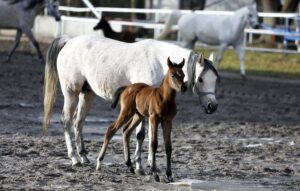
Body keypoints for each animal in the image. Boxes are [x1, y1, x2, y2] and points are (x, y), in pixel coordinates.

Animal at [43, 34, 219, 179]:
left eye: (216, 79)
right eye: (201, 79)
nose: (212, 106)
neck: (158, 62)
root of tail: (69, 41)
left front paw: (149, 165)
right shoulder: (147, 112)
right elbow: (141, 135)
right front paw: (141, 166)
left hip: (87, 94)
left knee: (78, 123)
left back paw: (84, 157)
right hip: (71, 93)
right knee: (66, 121)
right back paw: (74, 158)